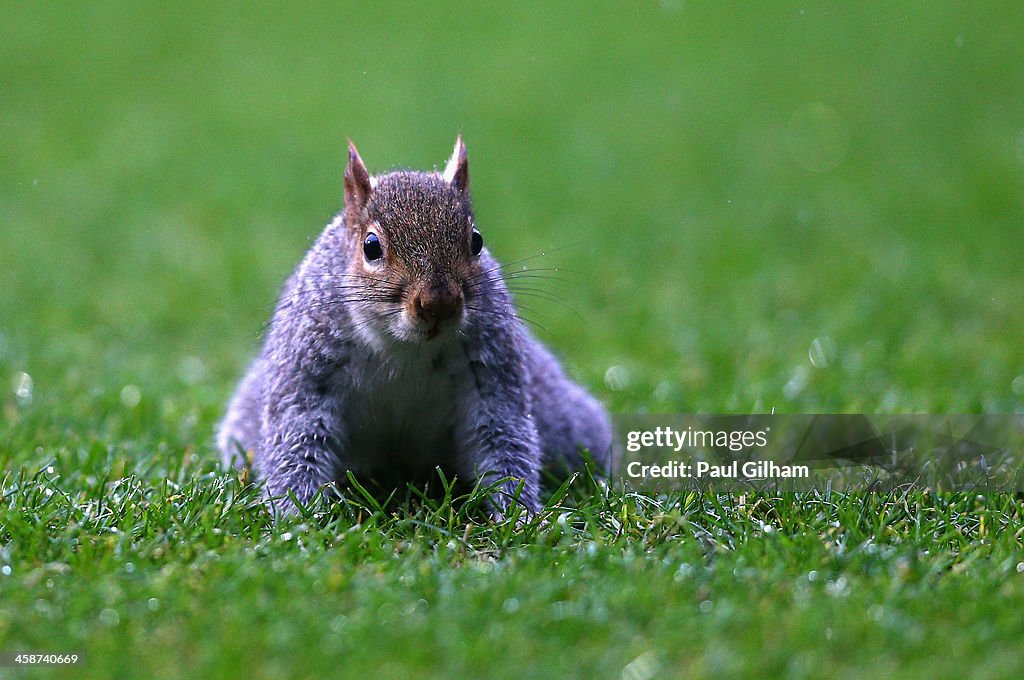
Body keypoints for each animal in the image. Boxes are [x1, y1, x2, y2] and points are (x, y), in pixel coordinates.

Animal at [217, 134, 610, 516]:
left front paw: (519, 515)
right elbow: (297, 437)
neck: (405, 348)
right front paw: (299, 517)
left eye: (476, 241)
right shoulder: (307, 371)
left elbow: (504, 438)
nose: (439, 304)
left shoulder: (491, 376)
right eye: (371, 246)